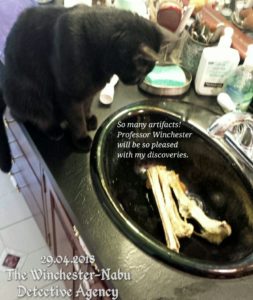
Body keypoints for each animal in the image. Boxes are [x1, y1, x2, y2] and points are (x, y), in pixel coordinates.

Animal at [0, 4, 162, 172]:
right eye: (142, 72)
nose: (141, 81)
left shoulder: (90, 90)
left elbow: (87, 106)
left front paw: (89, 118)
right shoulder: (69, 96)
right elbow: (77, 120)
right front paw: (81, 138)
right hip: (31, 95)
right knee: (35, 116)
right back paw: (54, 130)